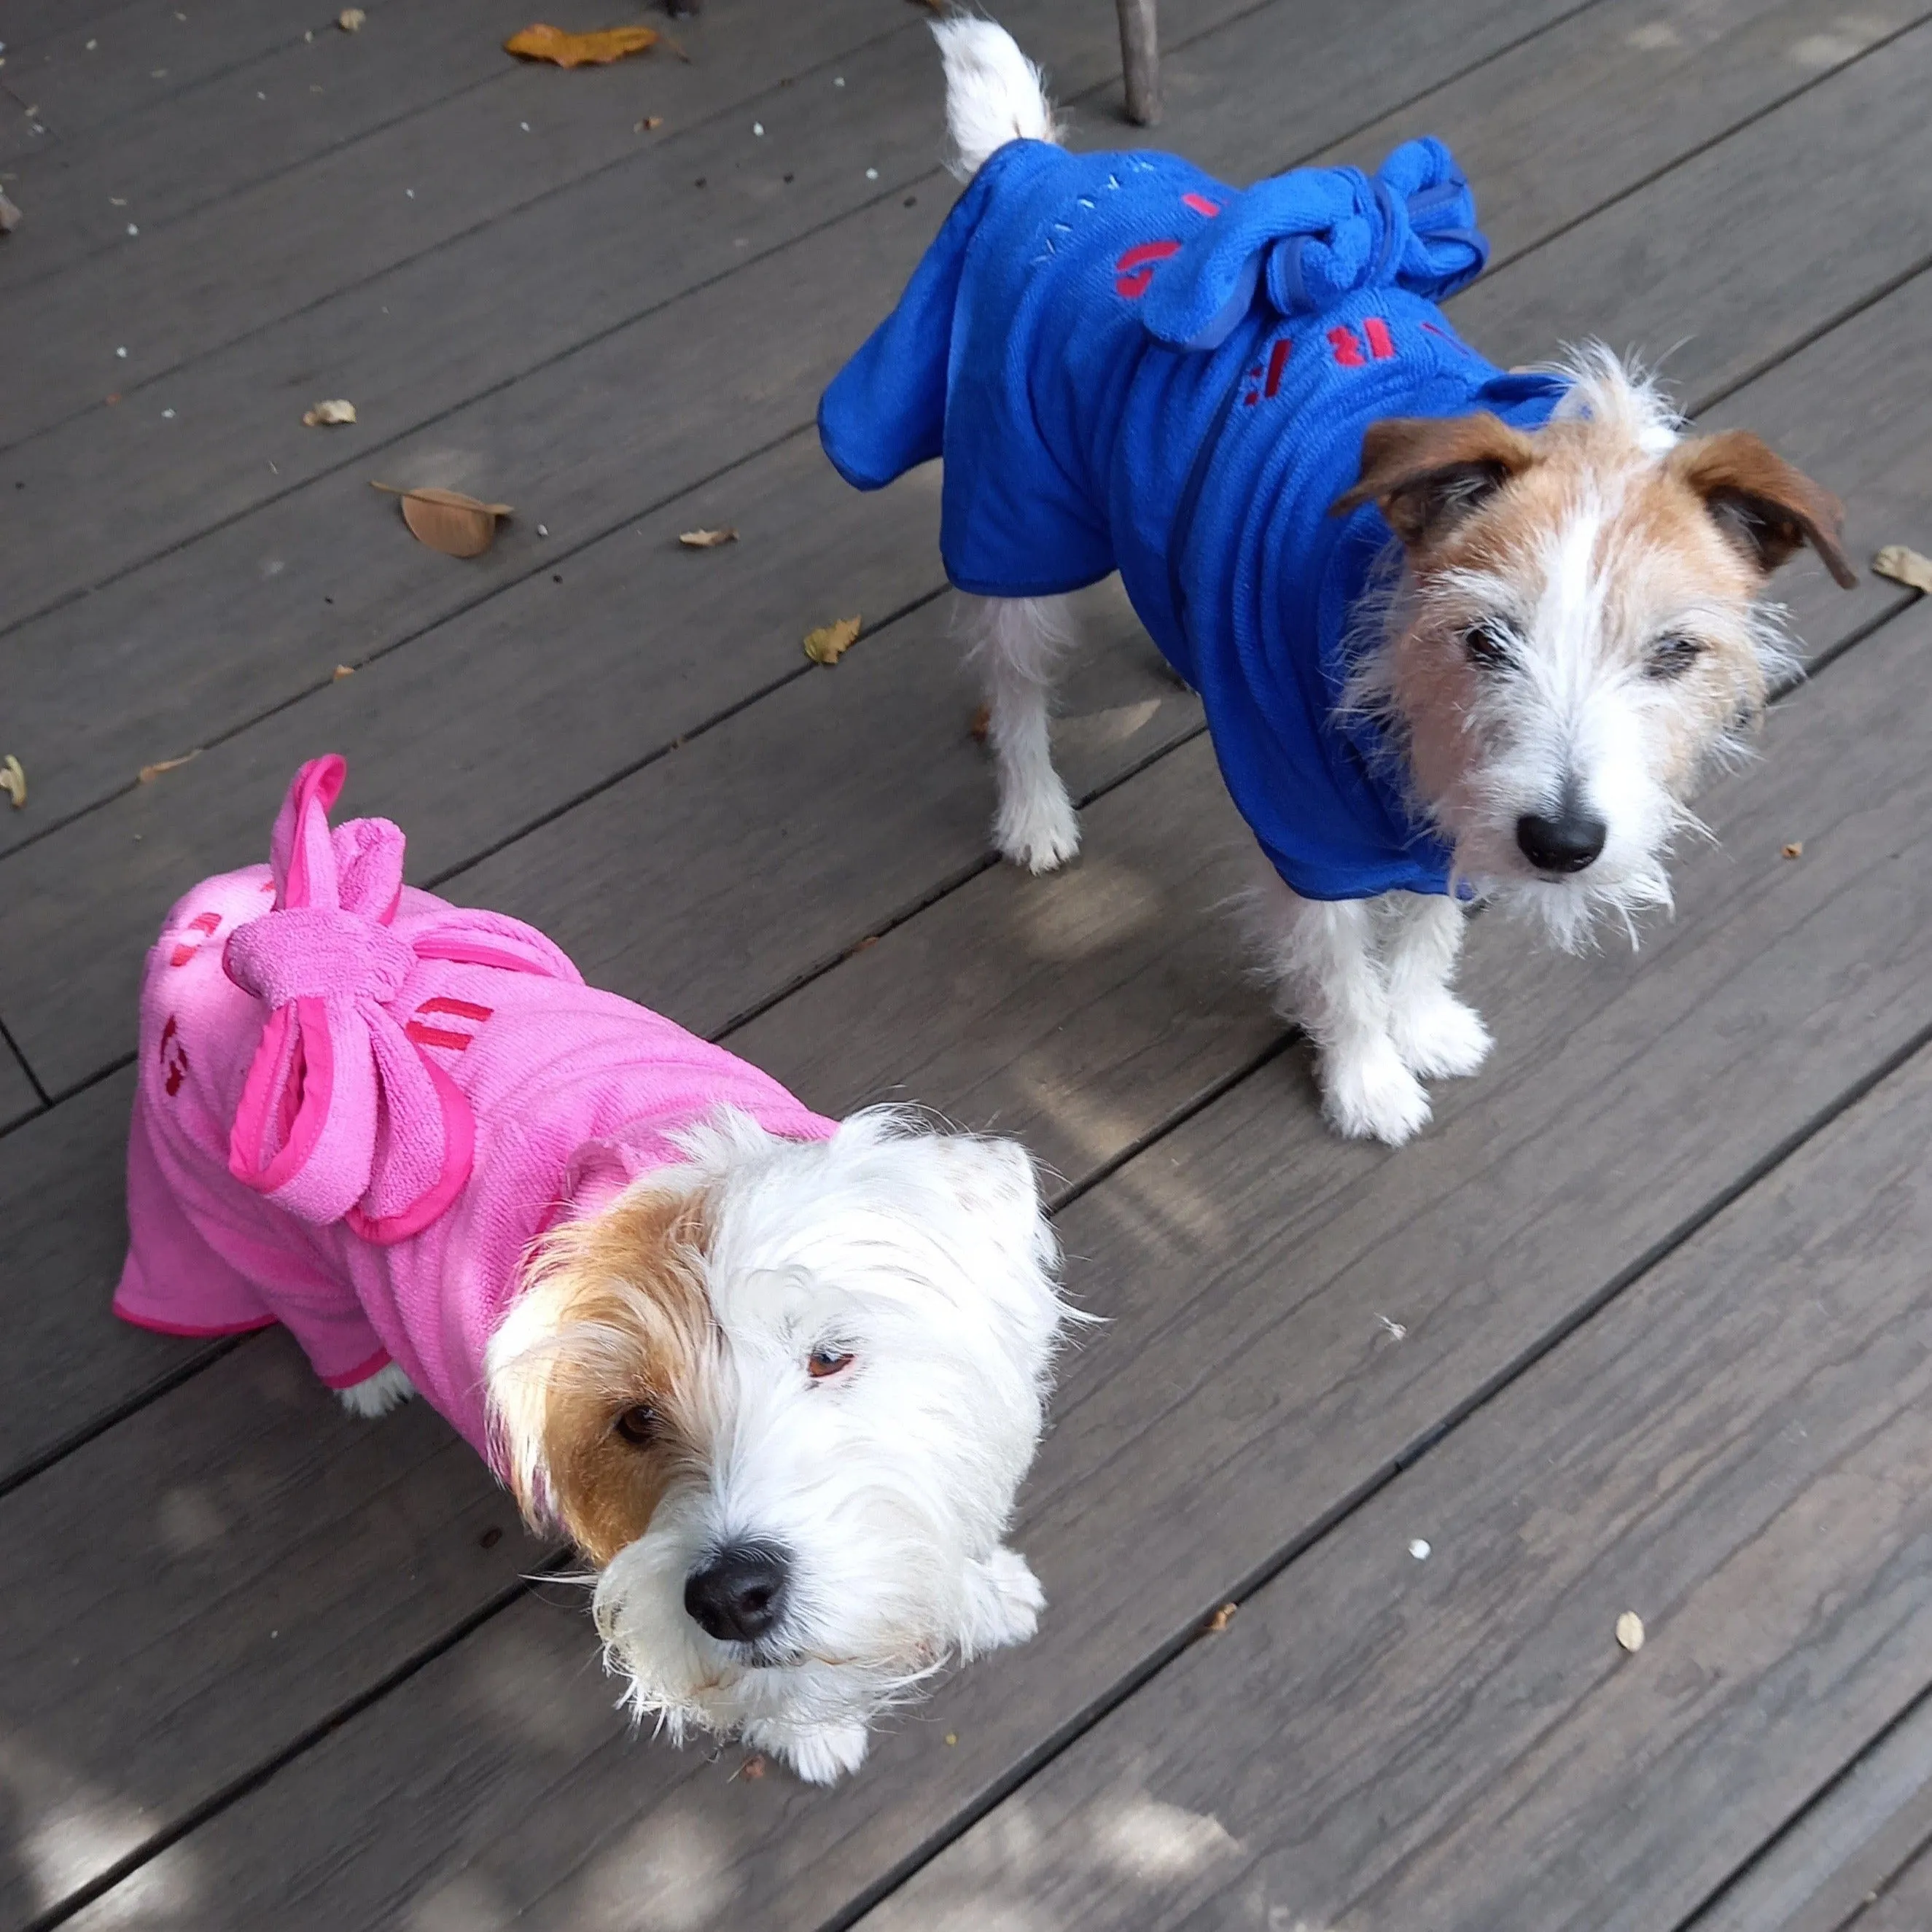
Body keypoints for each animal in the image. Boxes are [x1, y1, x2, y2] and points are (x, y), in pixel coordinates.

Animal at [819, 23, 1855, 1143]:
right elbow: (1339, 962)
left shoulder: (1453, 800)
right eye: (1485, 640)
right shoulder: (1306, 826)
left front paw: (1423, 1020)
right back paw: (1033, 811)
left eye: (1673, 653)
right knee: (1011, 685)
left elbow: (1429, 922)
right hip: (1013, 519)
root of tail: (1043, 162)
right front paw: (1366, 1079)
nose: (1562, 842)